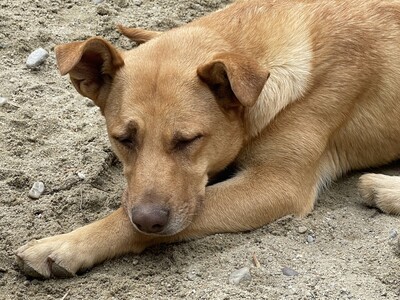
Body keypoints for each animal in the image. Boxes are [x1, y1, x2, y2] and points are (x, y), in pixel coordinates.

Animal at [14, 0, 400, 278]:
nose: (149, 219)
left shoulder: (277, 185)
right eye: (123, 138)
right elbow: (129, 208)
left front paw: (64, 246)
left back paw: (382, 188)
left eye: (188, 140)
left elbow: (126, 219)